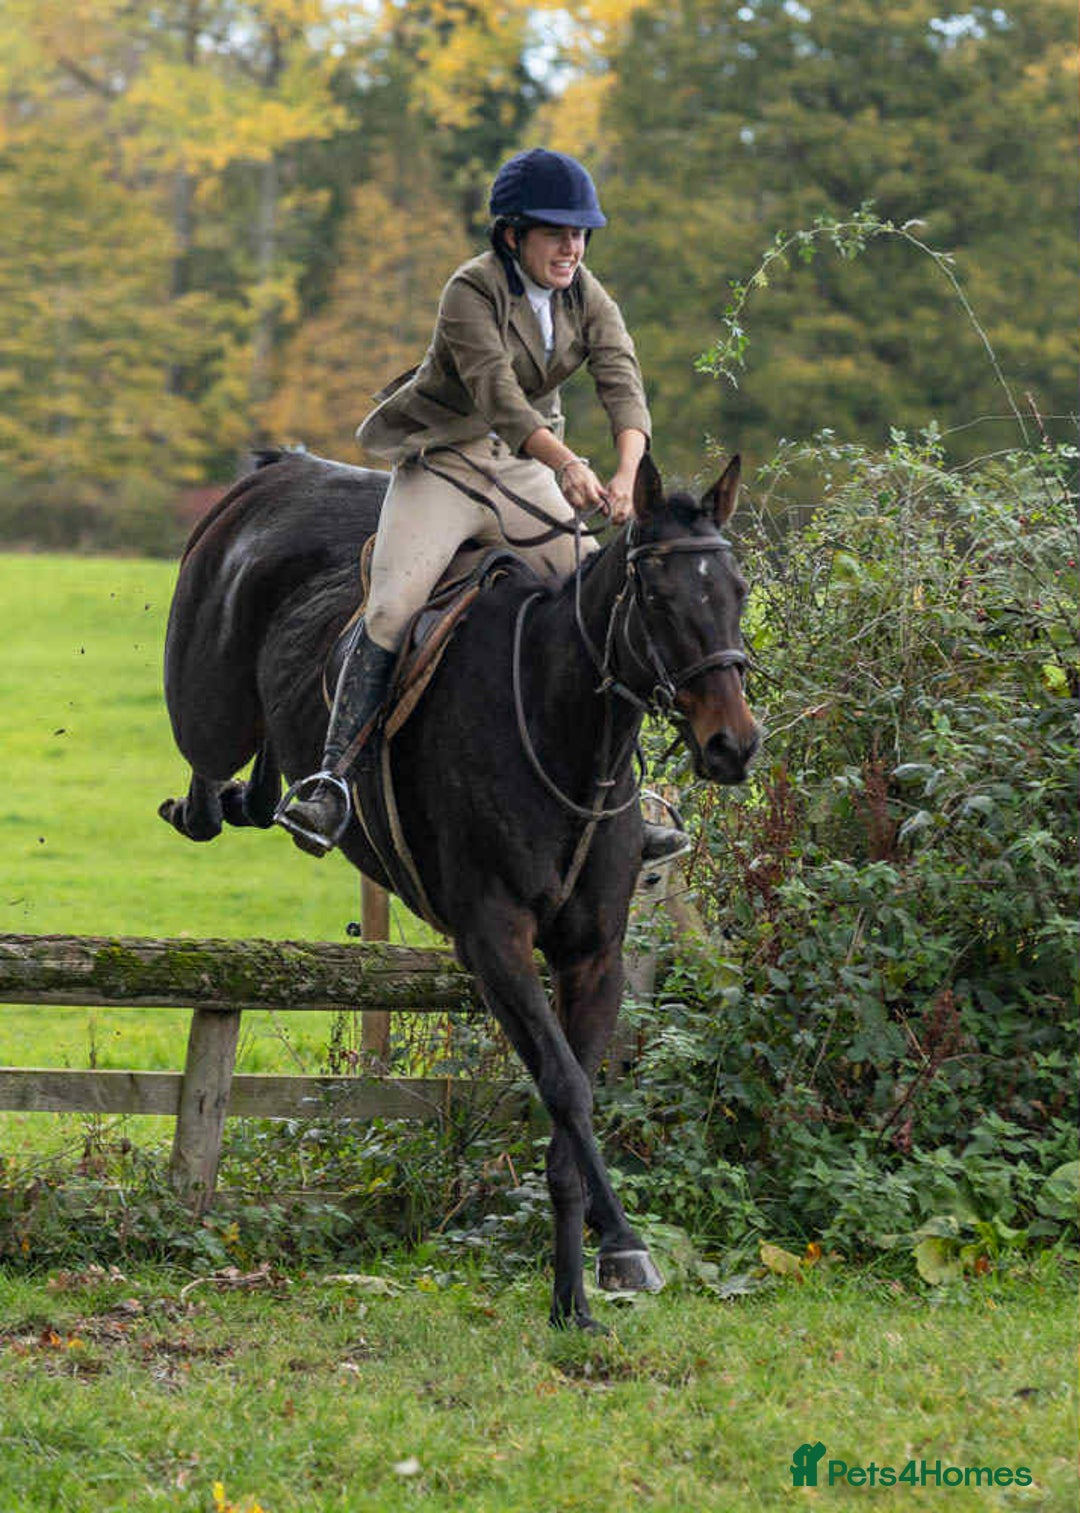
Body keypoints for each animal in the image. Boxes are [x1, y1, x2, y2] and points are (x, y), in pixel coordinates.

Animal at [159, 447, 761, 1329]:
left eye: (738, 590)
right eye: (658, 596)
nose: (733, 746)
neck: (562, 728)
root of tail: (280, 471)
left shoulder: (593, 955)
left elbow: (569, 1097)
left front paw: (576, 1293)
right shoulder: (493, 939)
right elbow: (566, 1087)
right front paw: (622, 1247)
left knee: (257, 786)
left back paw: (272, 796)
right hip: (207, 701)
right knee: (209, 767)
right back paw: (250, 798)